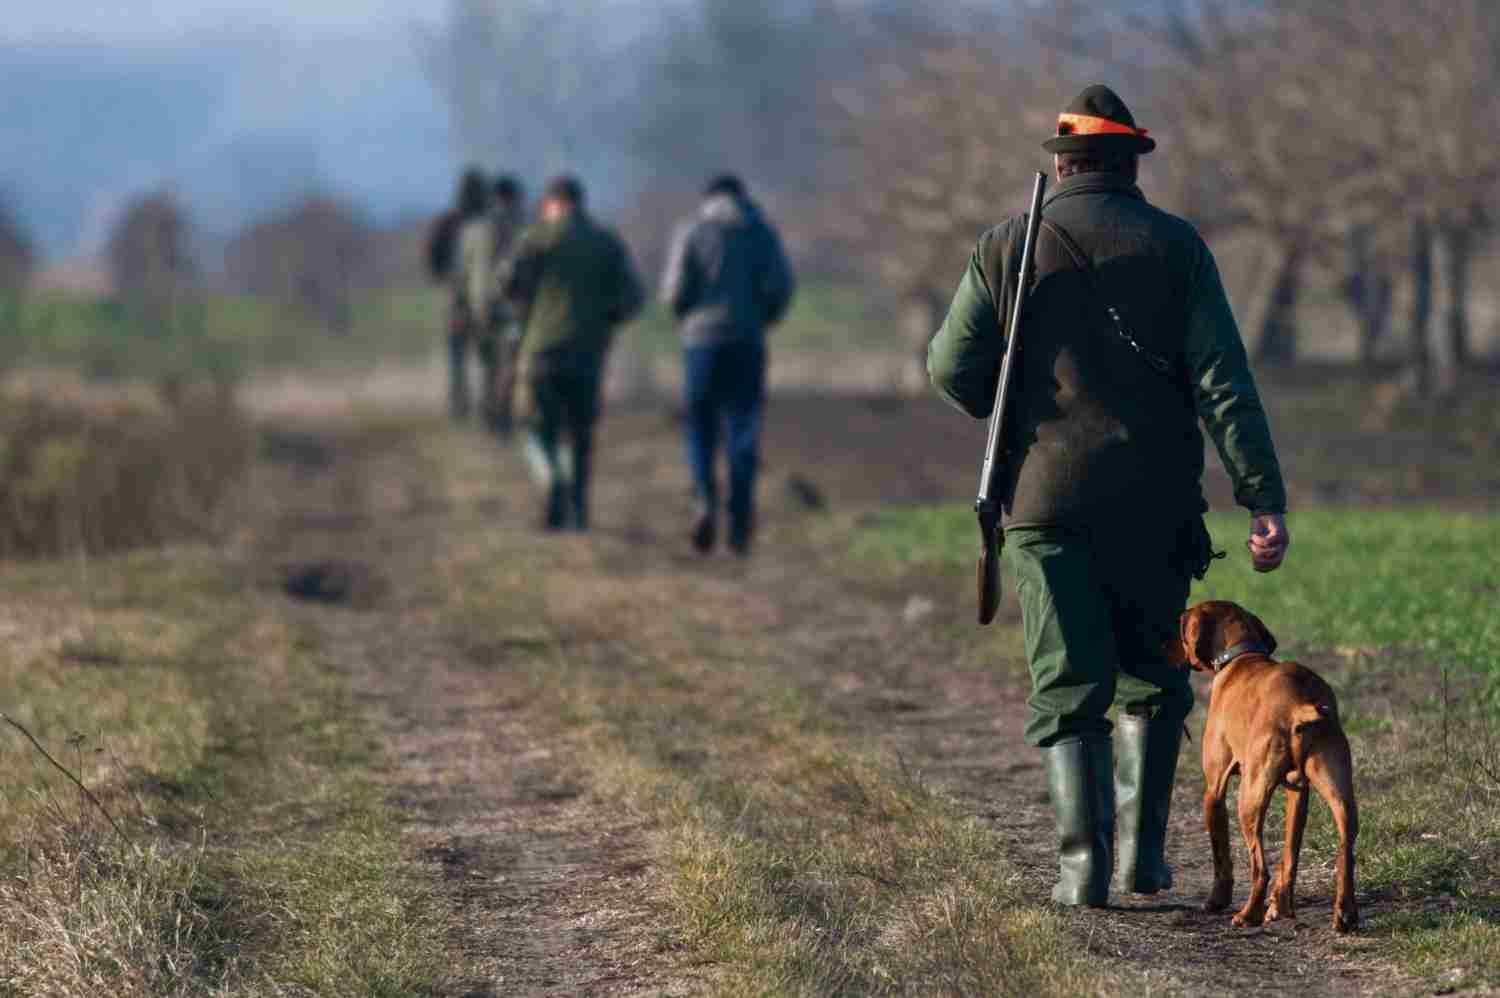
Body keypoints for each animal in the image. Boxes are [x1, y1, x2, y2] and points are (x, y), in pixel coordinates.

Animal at [1164, 600, 1368, 936]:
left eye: (1179, 624)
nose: (1160, 646)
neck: (1241, 656)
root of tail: (1300, 703)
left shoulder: (1213, 791)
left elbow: (1221, 857)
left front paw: (1217, 900)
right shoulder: (1298, 793)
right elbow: (1290, 856)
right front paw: (1281, 907)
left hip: (1249, 798)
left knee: (1260, 868)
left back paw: (1248, 915)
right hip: (1341, 796)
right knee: (1345, 854)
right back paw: (1345, 914)